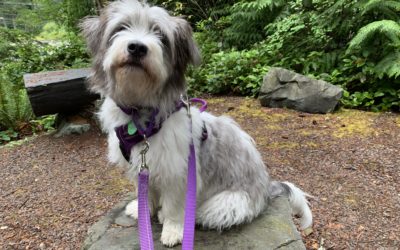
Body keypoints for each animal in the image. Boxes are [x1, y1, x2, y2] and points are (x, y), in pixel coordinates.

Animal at [80, 0, 312, 246]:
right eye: (121, 27)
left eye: (161, 36)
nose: (137, 47)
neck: (139, 114)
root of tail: (267, 188)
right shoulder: (142, 165)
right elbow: (146, 192)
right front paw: (142, 209)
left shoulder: (178, 172)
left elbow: (173, 205)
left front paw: (172, 229)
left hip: (227, 204)